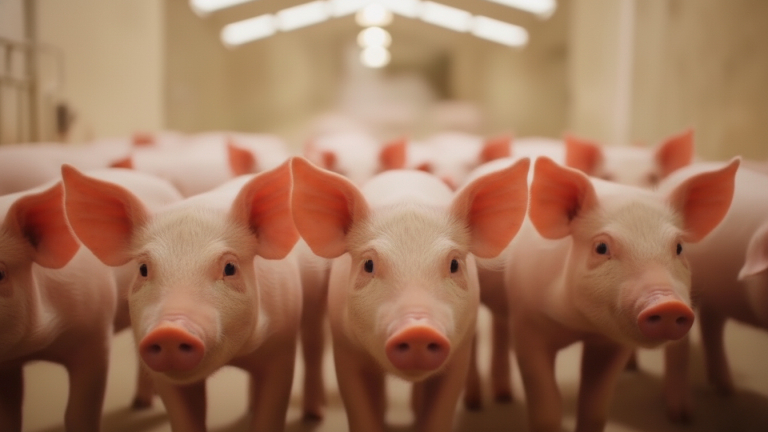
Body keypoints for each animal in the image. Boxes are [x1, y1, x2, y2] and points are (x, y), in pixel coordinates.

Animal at [61, 161, 302, 432]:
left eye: (230, 267)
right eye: (143, 269)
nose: (169, 331)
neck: (238, 356)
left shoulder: (282, 346)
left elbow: (270, 411)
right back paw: (141, 404)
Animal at [290, 156, 530, 432]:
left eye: (454, 264)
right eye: (369, 264)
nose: (418, 330)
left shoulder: (459, 354)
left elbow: (439, 414)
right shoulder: (345, 349)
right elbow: (362, 413)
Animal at [503, 157, 738, 432]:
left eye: (679, 247)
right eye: (601, 247)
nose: (668, 305)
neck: (579, 325)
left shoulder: (612, 342)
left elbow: (594, 409)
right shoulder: (525, 323)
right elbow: (546, 409)